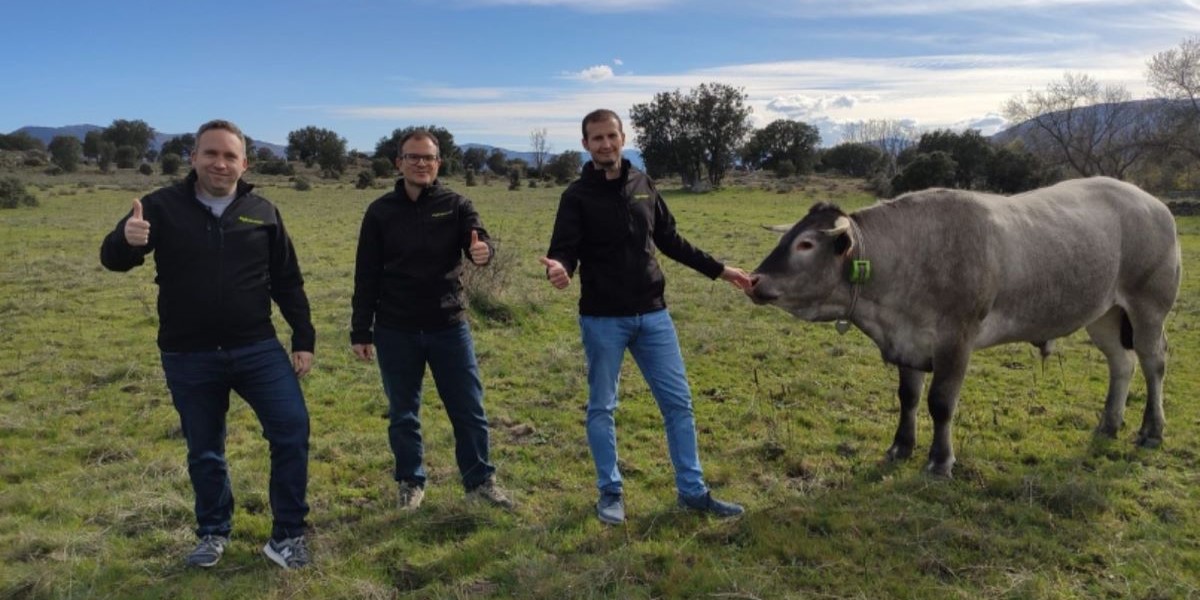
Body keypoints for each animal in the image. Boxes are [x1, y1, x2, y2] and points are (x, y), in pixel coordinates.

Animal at [748, 175, 1180, 475]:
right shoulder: (908, 340)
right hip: (1104, 313)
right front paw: (901, 447)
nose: (753, 280)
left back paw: (1152, 430)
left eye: (805, 244)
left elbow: (941, 402)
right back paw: (1109, 424)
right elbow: (908, 398)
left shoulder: (956, 339)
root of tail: (1151, 201)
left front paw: (940, 461)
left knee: (1153, 363)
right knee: (1121, 364)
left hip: (1149, 305)